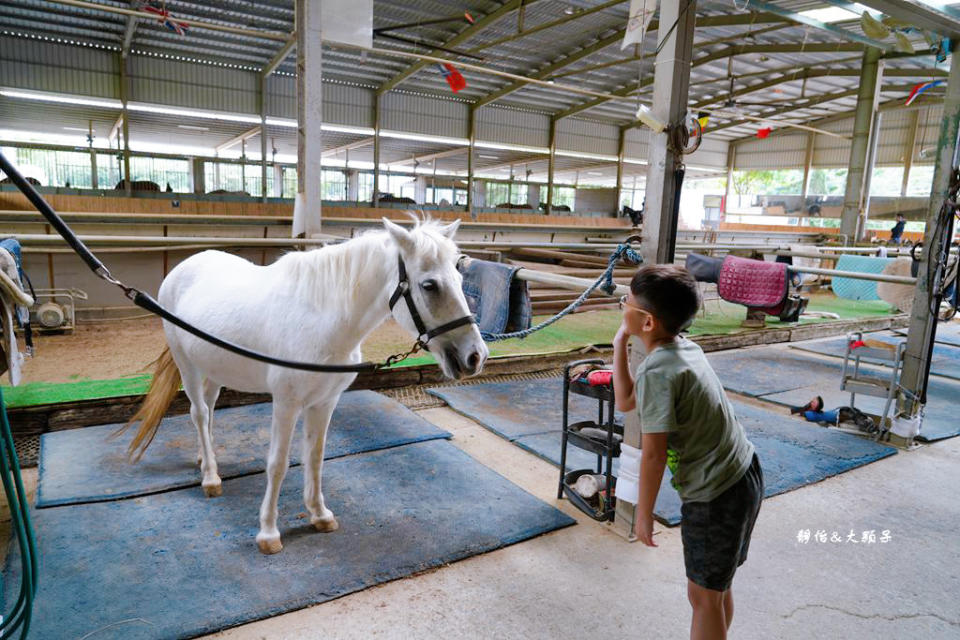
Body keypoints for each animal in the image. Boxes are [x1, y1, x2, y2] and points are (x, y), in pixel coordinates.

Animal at [122, 218, 488, 552]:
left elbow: (314, 456)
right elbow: (278, 463)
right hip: (185, 361)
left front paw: (319, 514)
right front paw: (268, 532)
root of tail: (183, 268)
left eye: (460, 279)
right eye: (429, 285)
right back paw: (211, 478)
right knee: (198, 413)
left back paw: (204, 458)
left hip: (214, 365)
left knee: (208, 410)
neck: (323, 319)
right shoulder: (286, 403)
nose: (475, 356)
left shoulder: (325, 402)